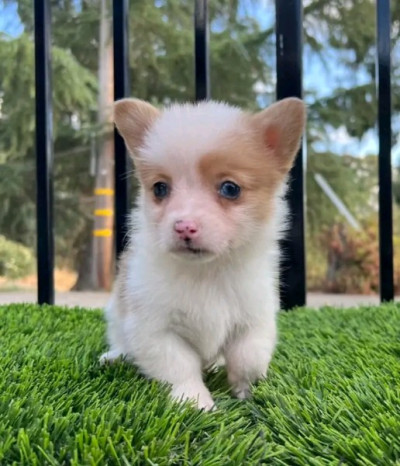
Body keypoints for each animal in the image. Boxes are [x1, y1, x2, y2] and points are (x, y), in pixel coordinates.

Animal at [101, 96, 306, 410]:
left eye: (230, 188)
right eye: (160, 188)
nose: (184, 226)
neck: (207, 271)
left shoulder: (254, 319)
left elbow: (248, 359)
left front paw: (248, 393)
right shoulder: (155, 328)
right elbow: (180, 366)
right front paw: (196, 403)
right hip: (116, 315)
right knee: (121, 342)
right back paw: (114, 357)